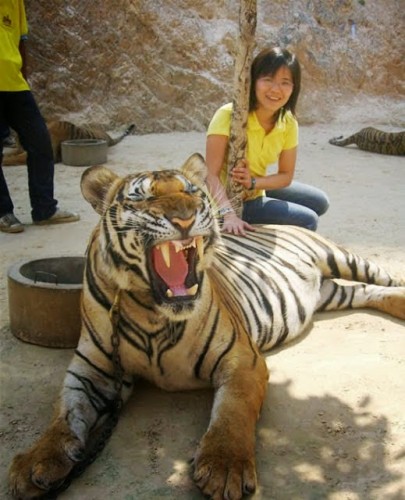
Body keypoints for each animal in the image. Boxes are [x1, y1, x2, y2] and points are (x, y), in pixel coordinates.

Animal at [2, 121, 135, 166]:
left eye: (17, 138)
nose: (13, 140)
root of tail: (109, 137)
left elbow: (15, 158)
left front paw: (3, 161)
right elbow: (12, 154)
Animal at [7, 154, 404, 498]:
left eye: (193, 192)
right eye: (143, 196)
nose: (185, 217)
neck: (153, 312)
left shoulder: (242, 359)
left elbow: (233, 411)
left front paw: (225, 467)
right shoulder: (93, 368)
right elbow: (63, 413)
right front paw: (35, 462)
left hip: (340, 257)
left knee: (383, 277)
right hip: (330, 293)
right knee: (367, 292)